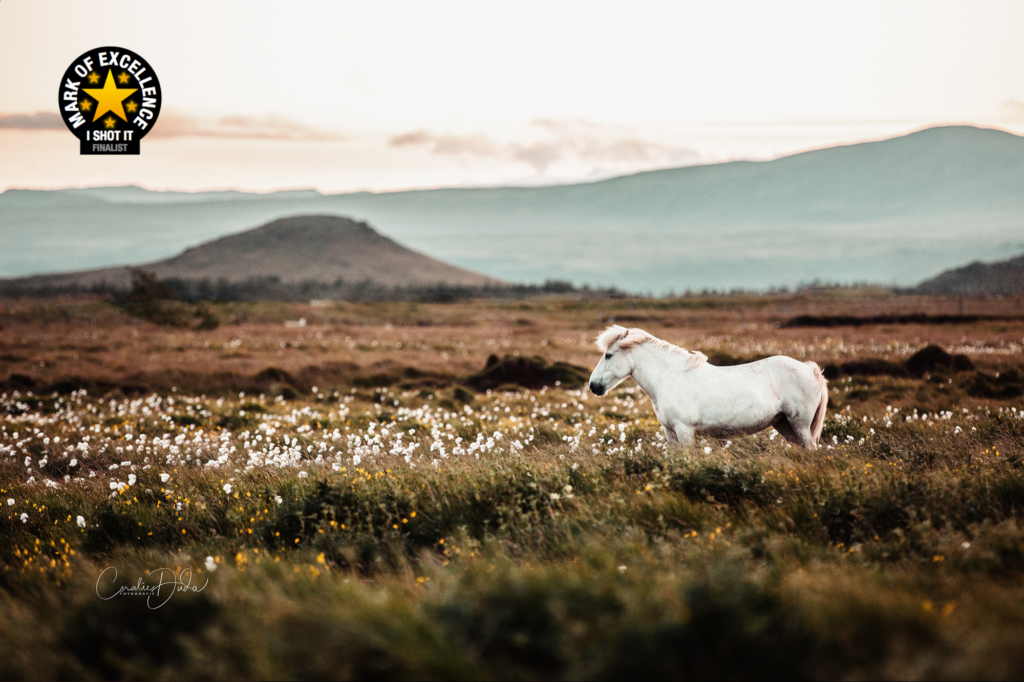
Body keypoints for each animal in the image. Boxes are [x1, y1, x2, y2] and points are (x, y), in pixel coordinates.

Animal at [589, 323, 827, 446]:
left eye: (608, 355)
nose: (593, 386)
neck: (669, 379)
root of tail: (811, 370)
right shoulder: (670, 431)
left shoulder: (684, 430)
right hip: (784, 425)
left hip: (800, 425)